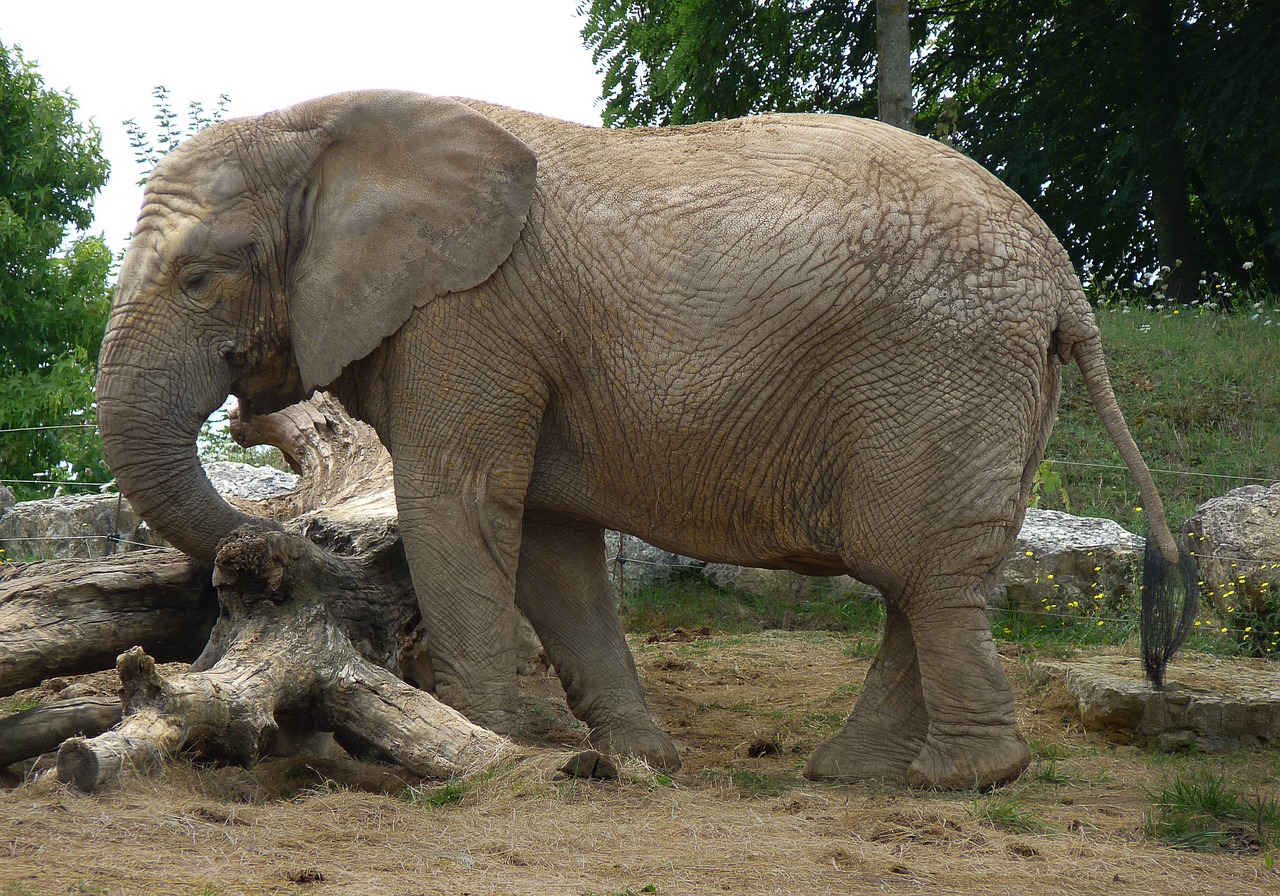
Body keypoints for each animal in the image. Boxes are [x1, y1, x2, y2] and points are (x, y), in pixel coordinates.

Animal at [94, 88, 1192, 788]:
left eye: (203, 276)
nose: (271, 546)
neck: (318, 128)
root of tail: (1064, 279)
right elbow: (545, 541)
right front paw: (631, 762)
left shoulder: (470, 314)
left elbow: (458, 501)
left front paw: (480, 745)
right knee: (925, 579)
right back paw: (860, 775)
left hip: (946, 373)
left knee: (920, 573)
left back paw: (960, 778)